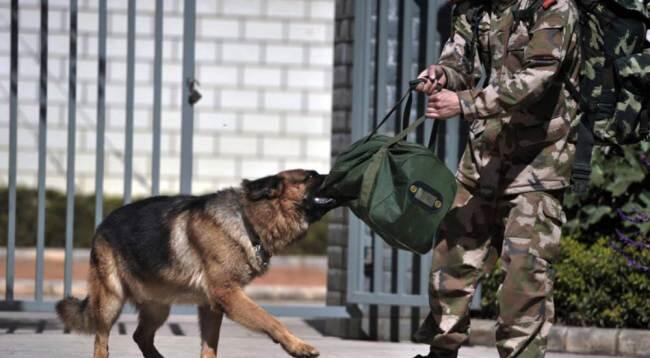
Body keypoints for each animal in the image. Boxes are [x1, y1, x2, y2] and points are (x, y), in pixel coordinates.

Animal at [56, 170, 336, 358]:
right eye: (310, 176)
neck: (247, 220)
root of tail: (102, 223)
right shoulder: (228, 295)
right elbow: (270, 319)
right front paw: (298, 346)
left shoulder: (212, 306)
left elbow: (210, 347)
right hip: (111, 300)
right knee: (101, 340)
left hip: (158, 307)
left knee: (141, 336)